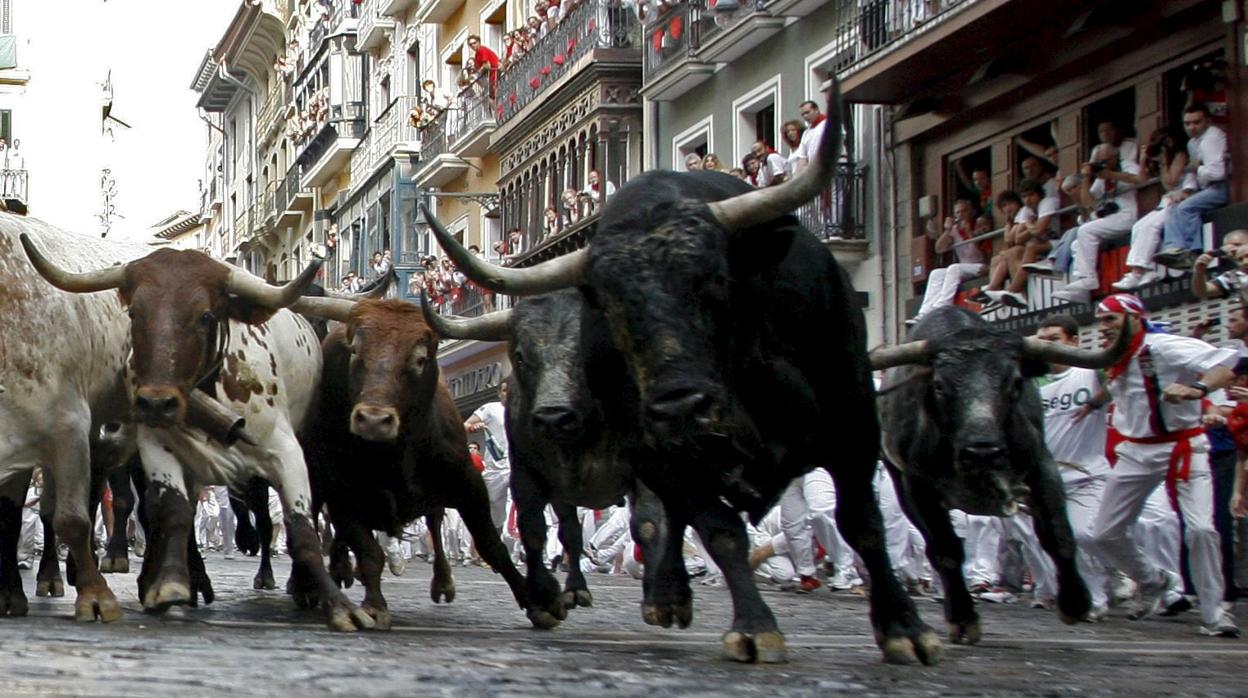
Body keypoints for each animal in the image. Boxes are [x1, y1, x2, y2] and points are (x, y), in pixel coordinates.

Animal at [424, 84, 938, 664]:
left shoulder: (853, 425)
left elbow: (862, 524)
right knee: (563, 531)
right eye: (523, 355)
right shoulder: (610, 465)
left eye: (716, 280)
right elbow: (714, 529)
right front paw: (753, 624)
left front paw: (902, 627)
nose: (552, 416)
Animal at [868, 305, 1133, 644]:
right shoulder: (917, 484)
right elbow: (946, 549)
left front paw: (1075, 602)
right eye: (939, 385)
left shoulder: (1040, 464)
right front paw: (963, 618)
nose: (982, 452)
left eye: (1016, 382)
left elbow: (1058, 534)